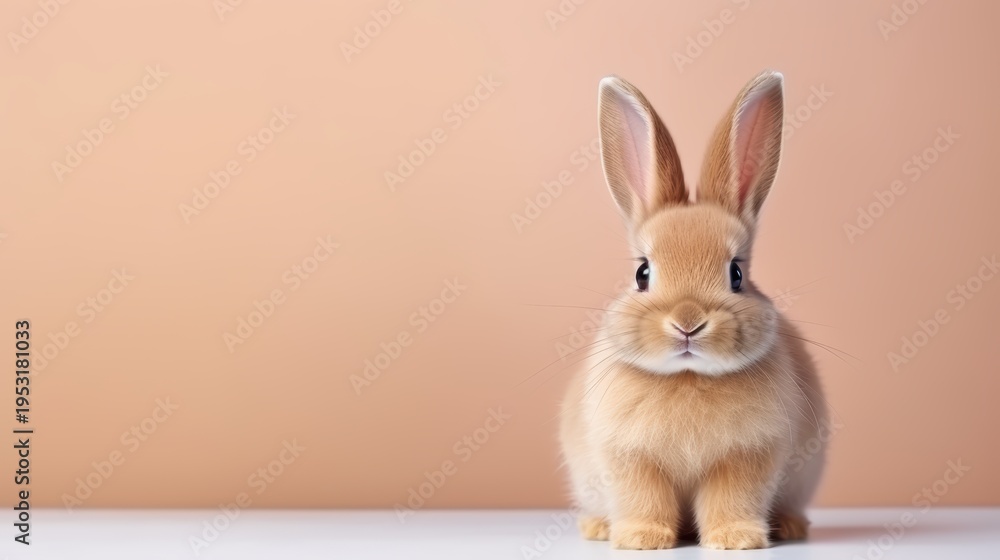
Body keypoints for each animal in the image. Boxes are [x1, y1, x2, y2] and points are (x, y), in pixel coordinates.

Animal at [558, 70, 828, 550]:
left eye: (736, 273)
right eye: (643, 273)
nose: (688, 323)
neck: (688, 377)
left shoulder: (746, 457)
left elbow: (731, 499)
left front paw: (736, 539)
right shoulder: (631, 458)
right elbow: (644, 498)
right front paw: (641, 539)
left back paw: (790, 526)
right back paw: (598, 527)